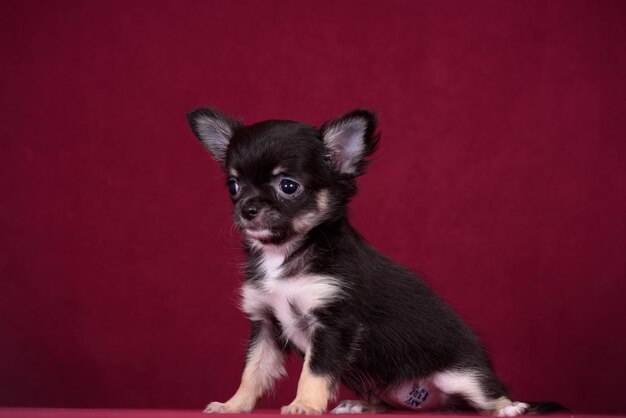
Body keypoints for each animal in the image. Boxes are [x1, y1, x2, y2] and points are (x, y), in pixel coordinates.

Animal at [185, 109, 552, 416]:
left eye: (288, 186)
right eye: (233, 185)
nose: (246, 209)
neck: (284, 252)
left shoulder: (333, 325)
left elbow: (314, 372)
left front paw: (304, 405)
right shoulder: (264, 323)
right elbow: (253, 370)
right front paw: (233, 405)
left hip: (462, 377)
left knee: (489, 395)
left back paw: (511, 408)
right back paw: (360, 405)